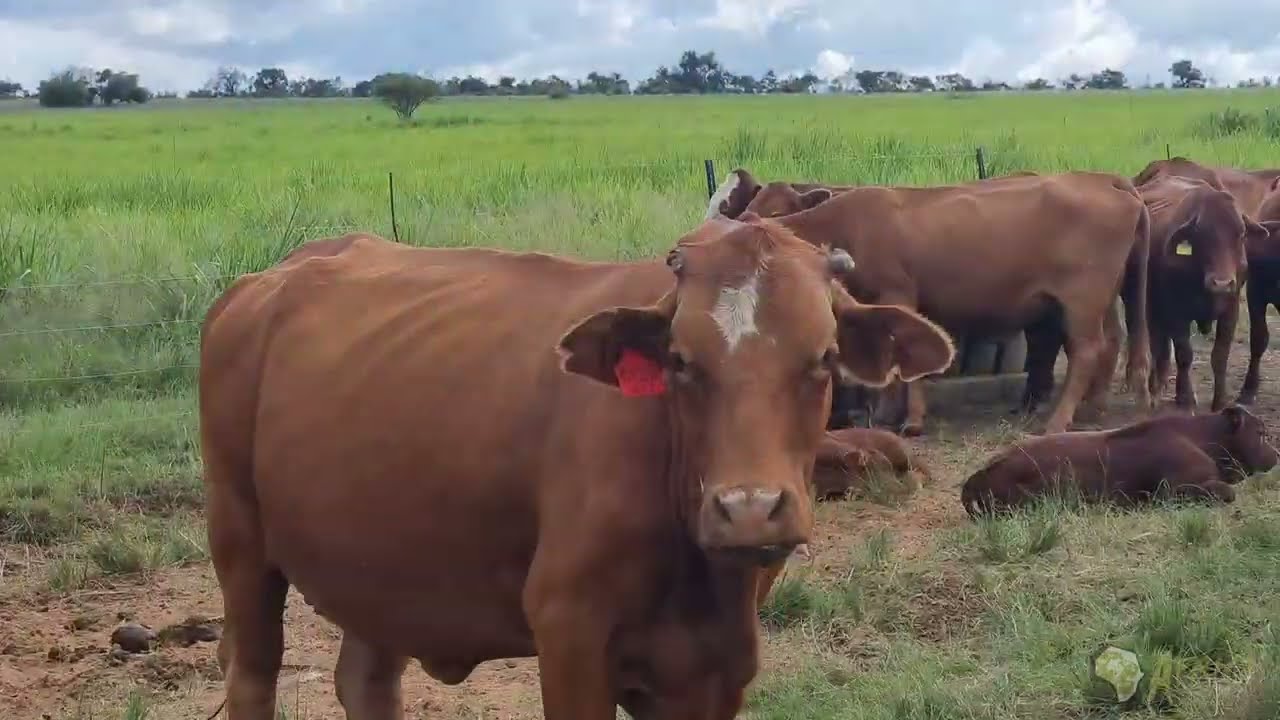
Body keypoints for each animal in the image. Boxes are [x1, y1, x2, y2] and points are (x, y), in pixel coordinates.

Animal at [198, 222, 956, 720]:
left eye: (824, 358)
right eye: (680, 360)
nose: (747, 509)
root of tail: (266, 280)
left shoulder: (713, 668)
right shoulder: (570, 638)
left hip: (379, 570)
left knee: (366, 680)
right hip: (240, 543)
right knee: (252, 675)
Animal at [705, 171, 1154, 436]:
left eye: (775, 210)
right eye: (749, 207)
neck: (846, 224)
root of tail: (1107, 183)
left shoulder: (898, 294)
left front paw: (912, 420)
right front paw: (887, 415)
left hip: (1082, 300)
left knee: (1087, 351)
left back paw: (1059, 420)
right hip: (1102, 300)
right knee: (1111, 342)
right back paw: (1093, 410)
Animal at [960, 405, 1278, 516]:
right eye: (1260, 432)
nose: (1275, 455)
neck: (1203, 438)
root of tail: (982, 473)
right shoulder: (1177, 488)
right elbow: (1227, 492)